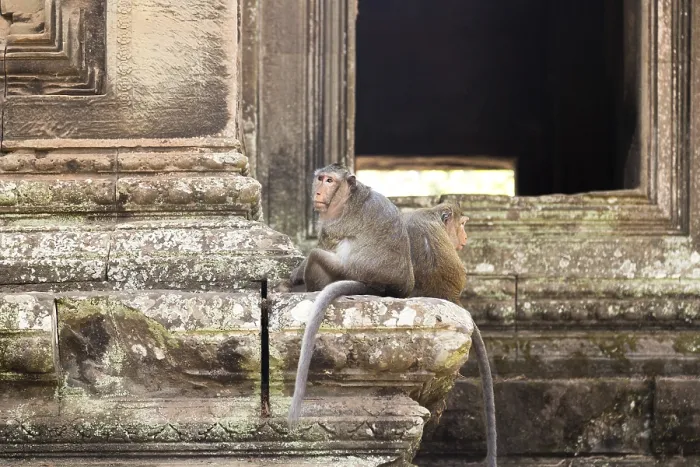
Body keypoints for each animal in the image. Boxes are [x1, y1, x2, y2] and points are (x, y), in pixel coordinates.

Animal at [287, 163, 415, 425]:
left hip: (340, 270)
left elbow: (320, 246)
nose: (318, 192)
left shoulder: (332, 225)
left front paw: (295, 275)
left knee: (317, 255)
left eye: (329, 181)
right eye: (320, 178)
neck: (348, 197)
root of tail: (377, 286)